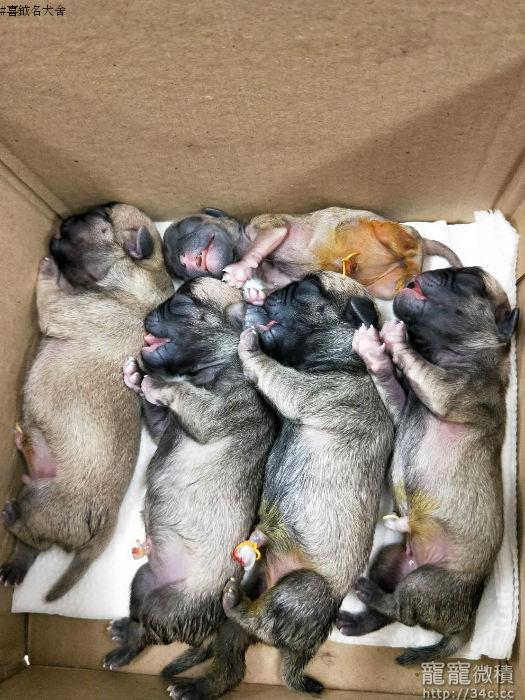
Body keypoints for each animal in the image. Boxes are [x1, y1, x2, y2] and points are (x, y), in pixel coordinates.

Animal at [0, 203, 172, 601]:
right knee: (31, 547)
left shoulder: (62, 307)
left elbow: (50, 291)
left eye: (101, 217)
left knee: (31, 533)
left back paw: (11, 516)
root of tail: (106, 522)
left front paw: (49, 268)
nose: (67, 217)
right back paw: (14, 568)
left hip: (44, 502)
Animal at [102, 278, 275, 674]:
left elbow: (180, 392)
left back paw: (123, 647)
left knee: (147, 633)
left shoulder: (212, 412)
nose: (149, 313)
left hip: (165, 604)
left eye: (181, 305)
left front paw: (153, 381)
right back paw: (123, 635)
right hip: (142, 581)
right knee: (138, 621)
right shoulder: (165, 424)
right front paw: (136, 377)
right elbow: (157, 414)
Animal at [163, 207, 460, 303]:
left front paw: (238, 273)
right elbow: (282, 284)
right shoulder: (274, 273)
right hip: (382, 288)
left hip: (387, 230)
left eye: (188, 225)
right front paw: (257, 295)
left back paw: (410, 264)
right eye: (177, 271)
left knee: (409, 248)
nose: (185, 260)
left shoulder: (266, 223)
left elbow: (270, 236)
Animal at [336, 266, 518, 664]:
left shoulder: (446, 391)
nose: (432, 272)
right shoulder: (403, 405)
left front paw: (394, 336)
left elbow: (415, 364)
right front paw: (375, 351)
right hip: (390, 558)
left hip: (427, 581)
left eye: (472, 281)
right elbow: (390, 380)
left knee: (402, 609)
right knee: (393, 613)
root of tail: (465, 618)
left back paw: (370, 594)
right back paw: (357, 618)